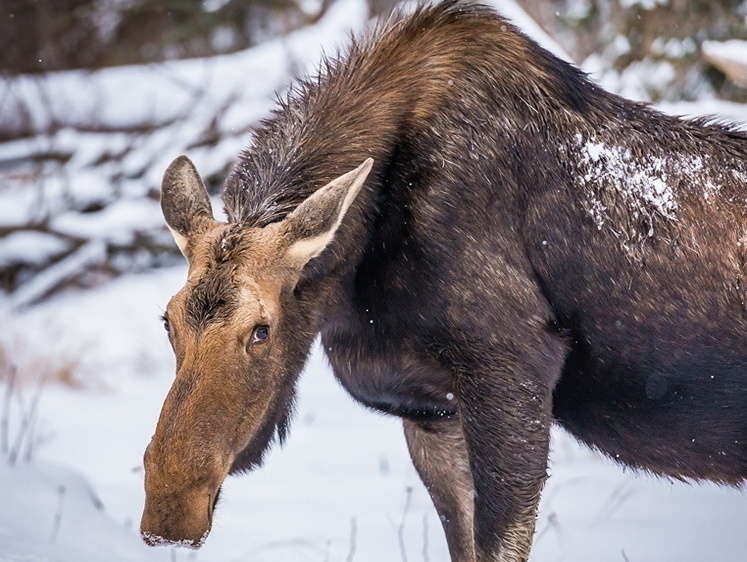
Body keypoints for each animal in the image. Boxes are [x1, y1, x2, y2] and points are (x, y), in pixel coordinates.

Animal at [140, 2, 747, 556]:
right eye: (166, 322)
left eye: (261, 330)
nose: (169, 513)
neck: (353, 281)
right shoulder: (431, 409)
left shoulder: (511, 369)